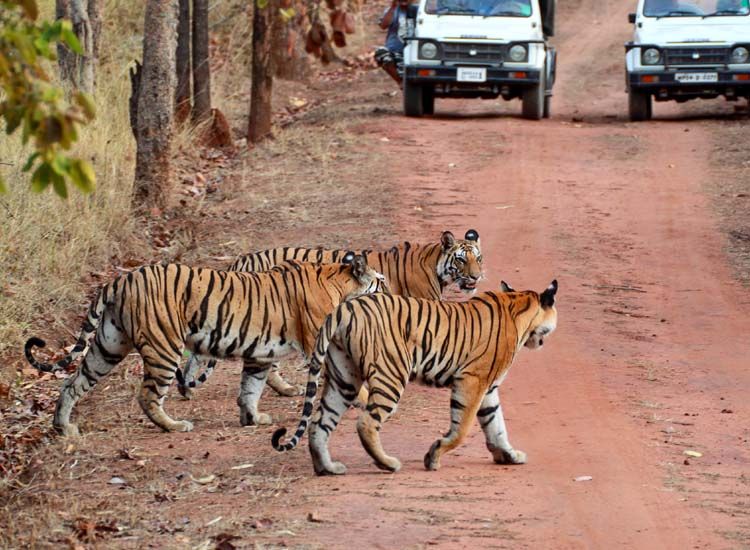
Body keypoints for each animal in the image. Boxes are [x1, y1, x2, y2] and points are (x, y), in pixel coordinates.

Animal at [25, 256, 388, 440]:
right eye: (380, 281)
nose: (389, 291)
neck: (338, 282)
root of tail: (120, 279)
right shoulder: (317, 346)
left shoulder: (260, 355)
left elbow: (250, 387)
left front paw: (252, 418)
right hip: (164, 347)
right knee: (148, 395)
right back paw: (174, 426)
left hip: (108, 345)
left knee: (73, 383)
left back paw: (63, 427)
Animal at [177, 230, 484, 402]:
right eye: (461, 260)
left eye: (478, 258)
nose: (476, 277)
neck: (435, 264)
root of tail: (241, 260)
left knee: (198, 355)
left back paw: (186, 390)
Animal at [272, 282, 560, 476]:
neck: (518, 304)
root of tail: (345, 307)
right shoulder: (472, 380)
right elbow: (462, 428)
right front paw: (433, 457)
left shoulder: (488, 388)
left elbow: (496, 424)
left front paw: (509, 455)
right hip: (391, 375)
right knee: (366, 422)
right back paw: (387, 463)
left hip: (344, 378)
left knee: (319, 423)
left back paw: (327, 468)